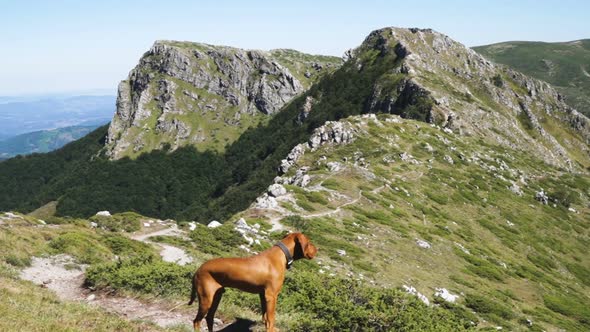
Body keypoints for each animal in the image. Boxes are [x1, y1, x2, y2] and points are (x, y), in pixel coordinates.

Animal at [190, 233, 320, 332]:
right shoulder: (271, 296)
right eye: (309, 243)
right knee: (196, 321)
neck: (281, 255)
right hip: (206, 299)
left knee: (209, 318)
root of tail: (198, 269)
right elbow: (271, 318)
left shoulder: (263, 295)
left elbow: (265, 317)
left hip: (216, 297)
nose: (317, 250)